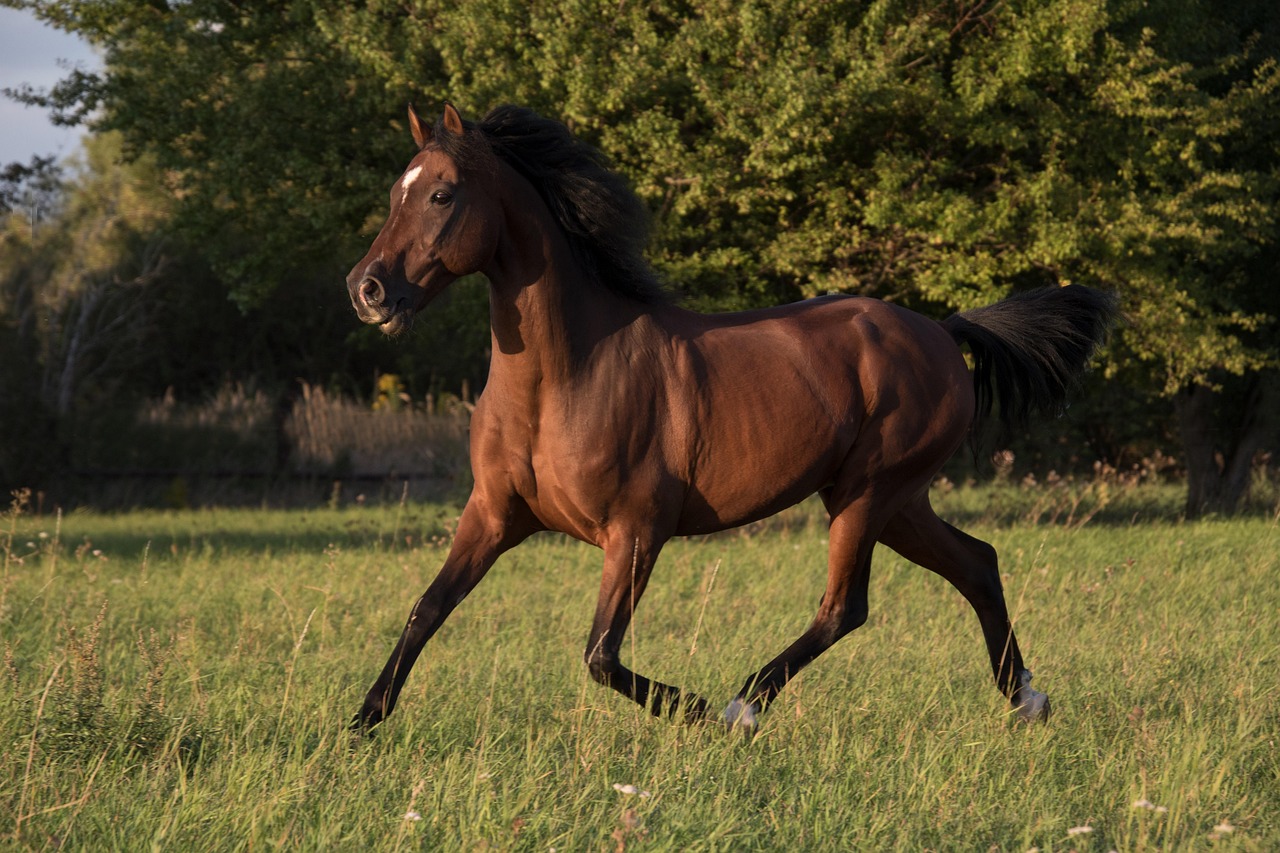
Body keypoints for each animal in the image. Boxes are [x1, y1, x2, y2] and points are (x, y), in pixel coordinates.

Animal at [345, 102, 1116, 734]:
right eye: (396, 192)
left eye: (442, 193)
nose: (368, 289)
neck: (566, 378)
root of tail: (941, 331)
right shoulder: (493, 515)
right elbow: (425, 610)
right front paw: (358, 727)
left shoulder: (636, 530)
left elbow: (600, 654)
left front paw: (694, 707)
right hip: (896, 501)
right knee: (977, 563)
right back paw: (1027, 700)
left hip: (870, 492)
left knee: (846, 606)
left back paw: (743, 705)